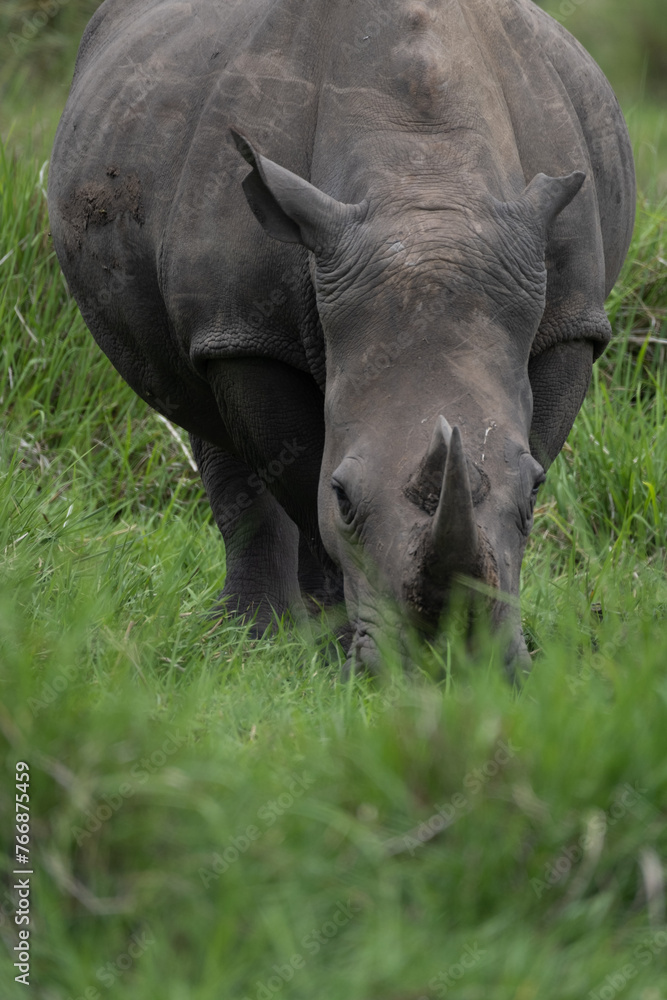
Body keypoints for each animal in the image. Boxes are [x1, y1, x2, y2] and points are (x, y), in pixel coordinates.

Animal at [48, 0, 635, 675]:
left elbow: (528, 442)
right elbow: (304, 482)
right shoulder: (245, 328)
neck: (426, 184)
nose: (447, 666)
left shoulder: (571, 320)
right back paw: (252, 636)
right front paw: (332, 650)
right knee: (214, 424)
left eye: (537, 492)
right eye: (346, 497)